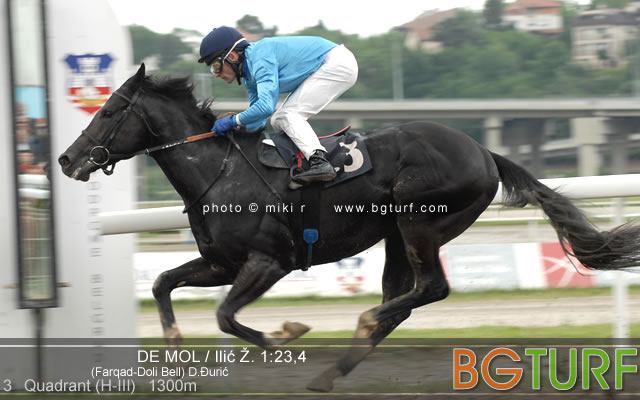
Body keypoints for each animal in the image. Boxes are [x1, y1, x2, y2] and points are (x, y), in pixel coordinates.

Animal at [58, 64, 640, 392]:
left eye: (107, 111)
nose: (66, 159)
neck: (217, 172)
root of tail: (483, 151)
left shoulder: (269, 261)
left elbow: (226, 316)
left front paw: (283, 335)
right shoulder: (222, 262)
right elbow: (162, 282)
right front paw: (176, 347)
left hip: (418, 222)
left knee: (429, 288)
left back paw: (355, 329)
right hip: (396, 237)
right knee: (403, 300)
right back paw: (331, 371)